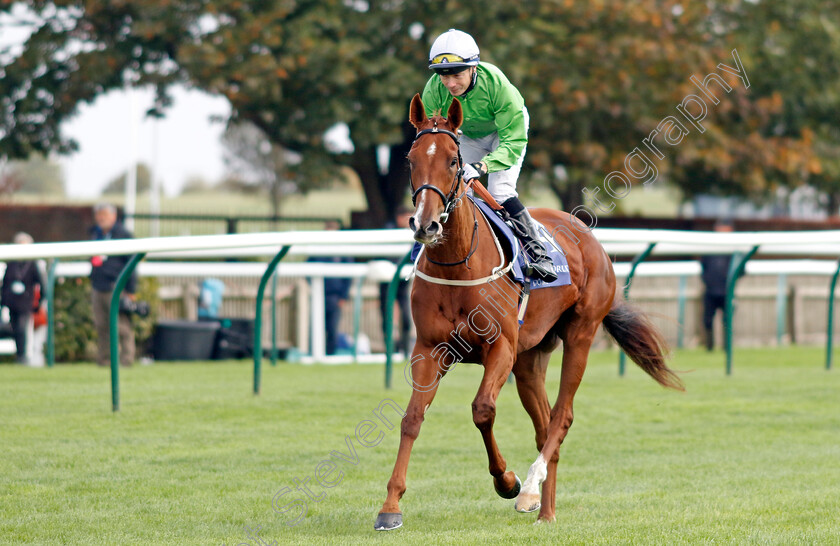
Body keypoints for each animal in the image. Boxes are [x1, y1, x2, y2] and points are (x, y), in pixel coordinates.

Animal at [374, 95, 684, 528]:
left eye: (453, 160)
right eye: (410, 159)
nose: (426, 224)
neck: (457, 264)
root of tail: (589, 237)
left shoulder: (501, 347)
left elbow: (482, 410)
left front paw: (508, 482)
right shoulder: (429, 348)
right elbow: (412, 418)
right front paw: (390, 506)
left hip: (580, 333)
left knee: (562, 416)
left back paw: (531, 488)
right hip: (530, 358)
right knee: (544, 423)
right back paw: (545, 511)